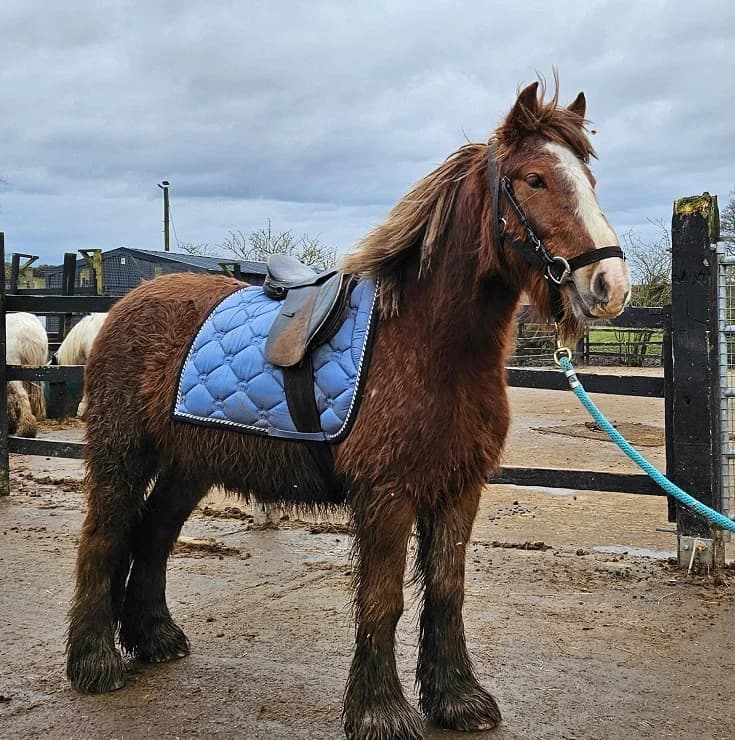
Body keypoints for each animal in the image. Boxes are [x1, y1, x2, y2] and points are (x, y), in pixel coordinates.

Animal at [66, 80, 631, 740]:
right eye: (536, 179)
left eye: (589, 181)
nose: (609, 284)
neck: (425, 344)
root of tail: (120, 307)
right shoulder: (388, 495)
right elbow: (384, 599)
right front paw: (380, 711)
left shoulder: (459, 489)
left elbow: (447, 590)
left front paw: (457, 698)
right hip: (121, 456)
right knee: (105, 538)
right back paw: (95, 662)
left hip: (190, 464)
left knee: (153, 535)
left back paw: (154, 637)